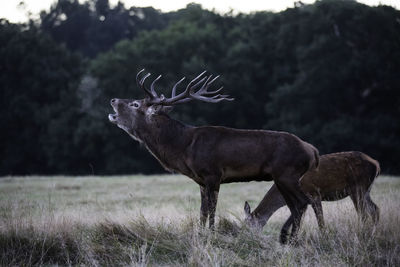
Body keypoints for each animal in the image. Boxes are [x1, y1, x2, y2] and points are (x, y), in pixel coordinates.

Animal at [108, 70, 318, 244]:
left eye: (135, 103)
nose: (113, 100)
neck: (184, 149)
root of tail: (312, 151)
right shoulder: (201, 181)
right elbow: (202, 212)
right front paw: (201, 235)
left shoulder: (213, 174)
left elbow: (212, 211)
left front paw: (212, 235)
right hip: (282, 178)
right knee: (296, 205)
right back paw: (290, 238)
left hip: (286, 173)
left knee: (304, 201)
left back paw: (292, 238)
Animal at [245, 153, 380, 243]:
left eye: (248, 224)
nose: (247, 238)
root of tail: (377, 164)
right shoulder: (304, 201)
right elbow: (295, 216)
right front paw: (284, 237)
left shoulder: (313, 194)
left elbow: (320, 221)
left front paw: (323, 238)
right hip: (365, 190)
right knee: (375, 209)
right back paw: (373, 234)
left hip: (357, 188)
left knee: (363, 213)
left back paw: (361, 233)